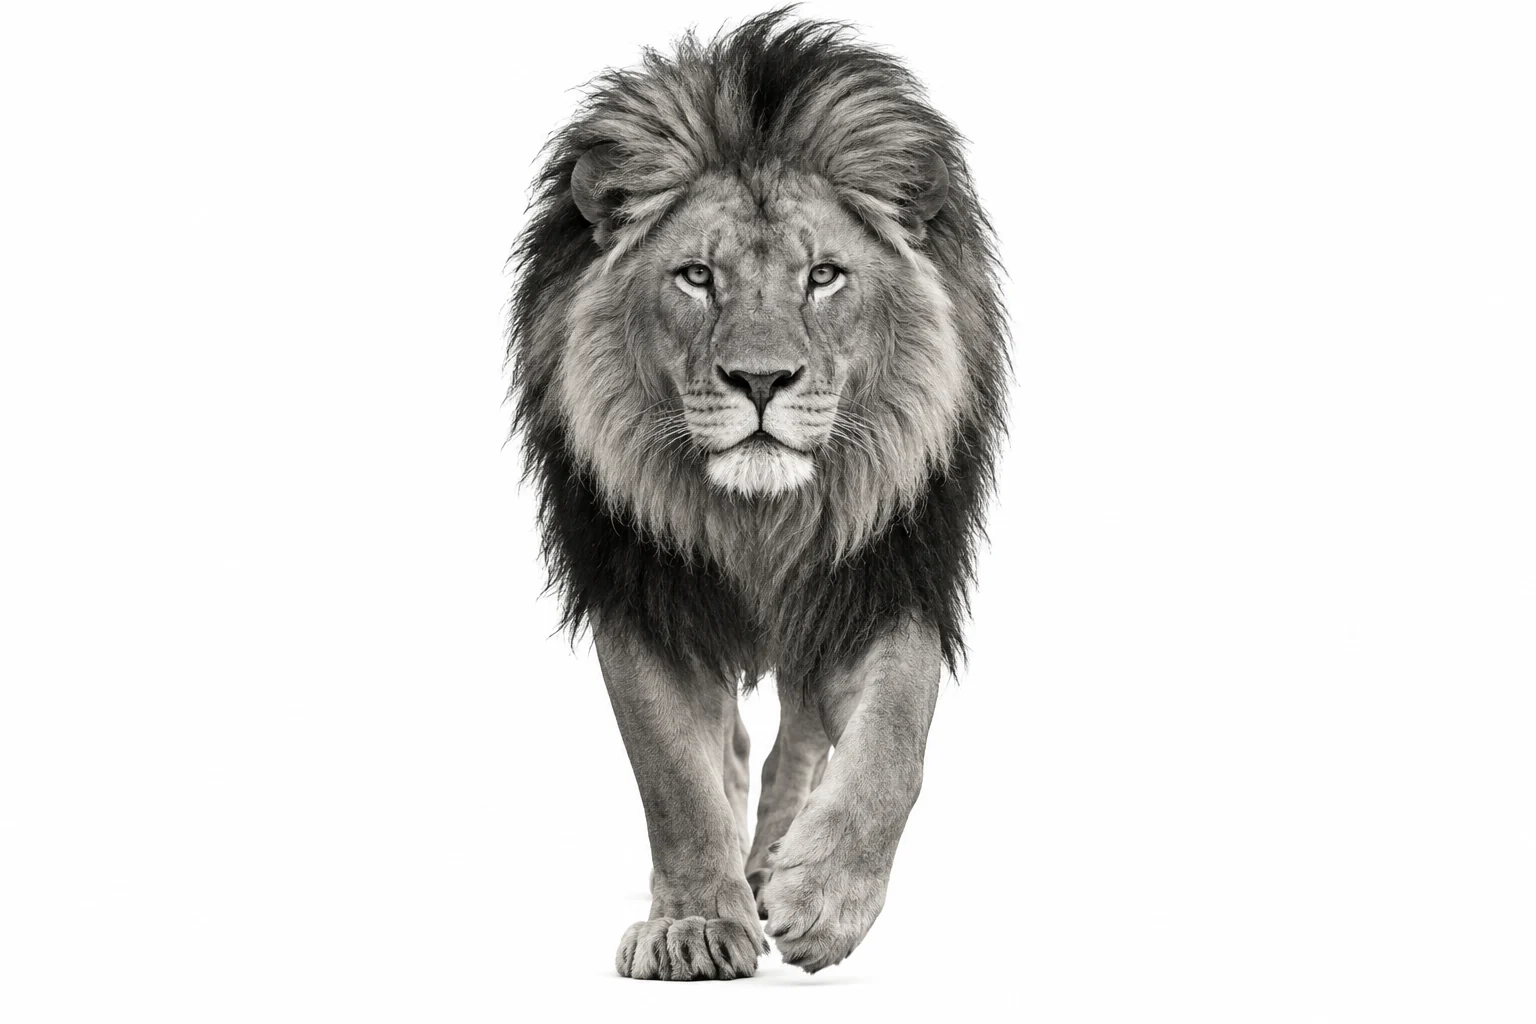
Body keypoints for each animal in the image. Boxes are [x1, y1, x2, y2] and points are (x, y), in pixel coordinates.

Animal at [507, 11, 1008, 979]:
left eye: (824, 276)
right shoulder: (643, 591)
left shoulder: (882, 576)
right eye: (698, 276)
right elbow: (673, 774)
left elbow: (894, 743)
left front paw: (826, 896)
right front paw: (696, 919)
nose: (762, 380)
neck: (760, 522)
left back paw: (777, 861)